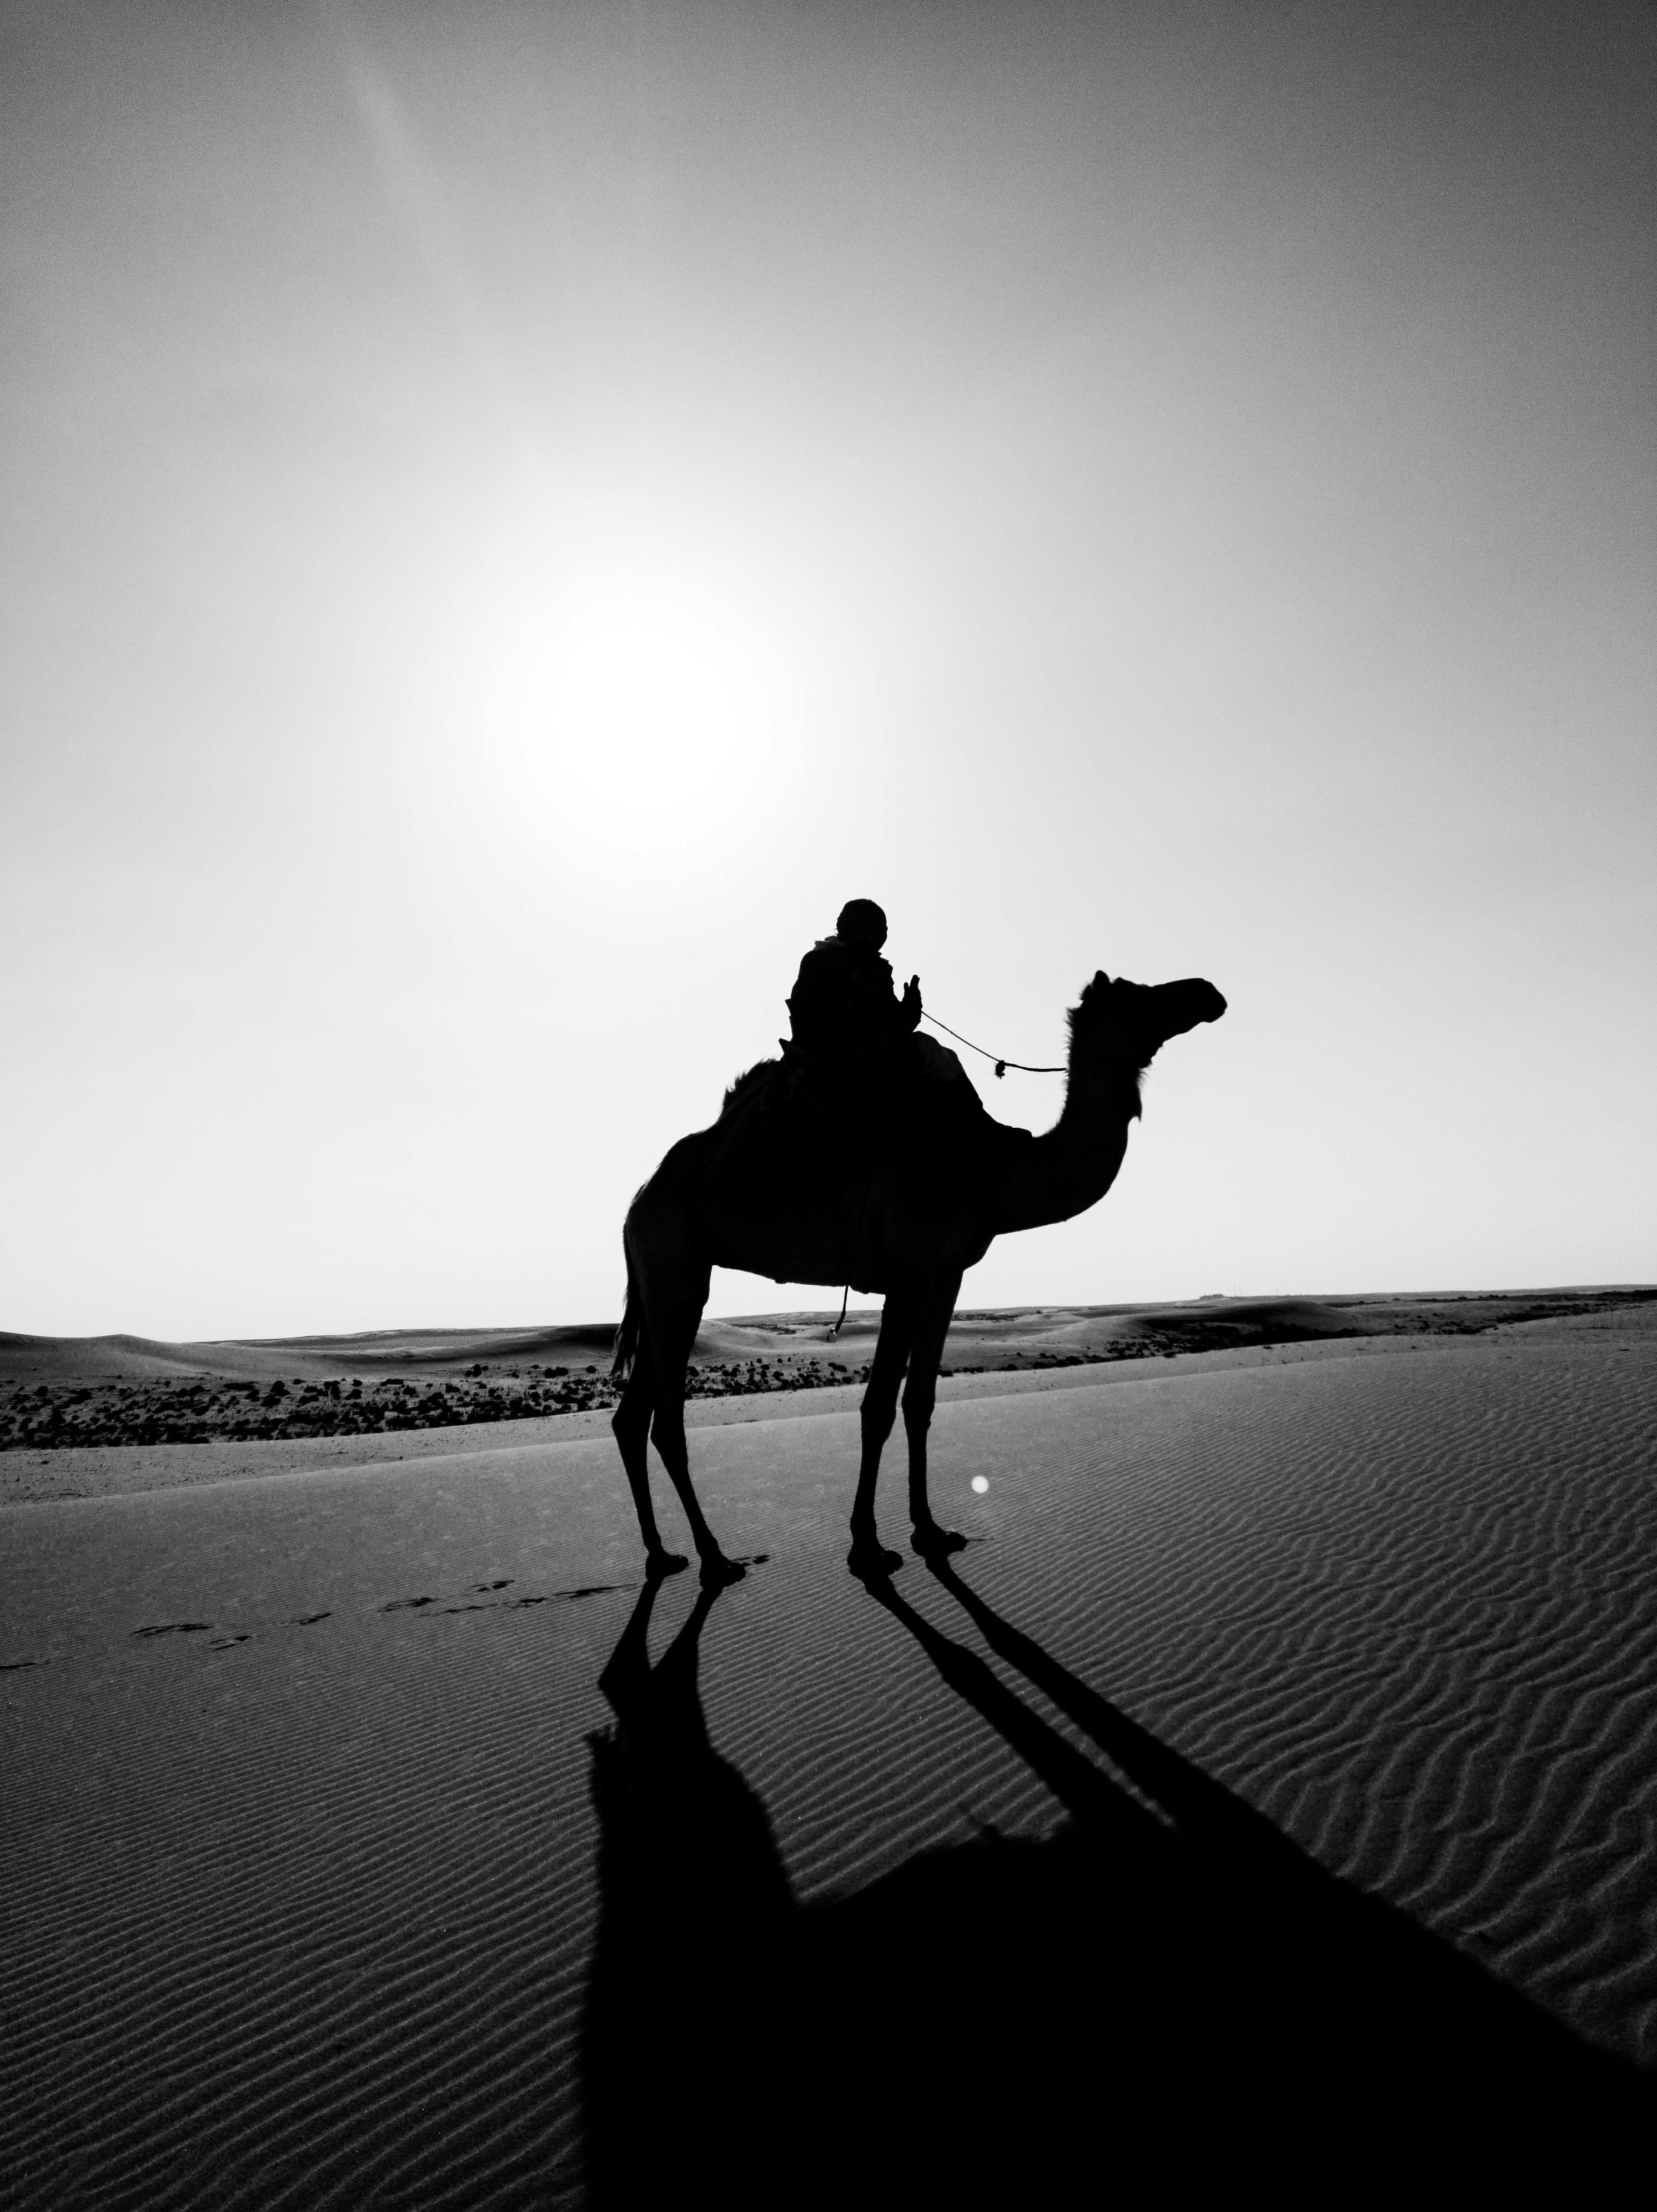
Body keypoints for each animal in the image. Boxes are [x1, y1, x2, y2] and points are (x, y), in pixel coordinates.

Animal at [610, 969, 1225, 1583]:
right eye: (1136, 995)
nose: (1207, 992)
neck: (990, 1170)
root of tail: (639, 1200)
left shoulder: (945, 1273)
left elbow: (920, 1402)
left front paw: (930, 1530)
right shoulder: (909, 1271)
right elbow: (879, 1406)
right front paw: (867, 1547)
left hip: (665, 1280)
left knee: (632, 1416)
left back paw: (662, 1555)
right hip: (675, 1267)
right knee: (666, 1419)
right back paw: (715, 1559)